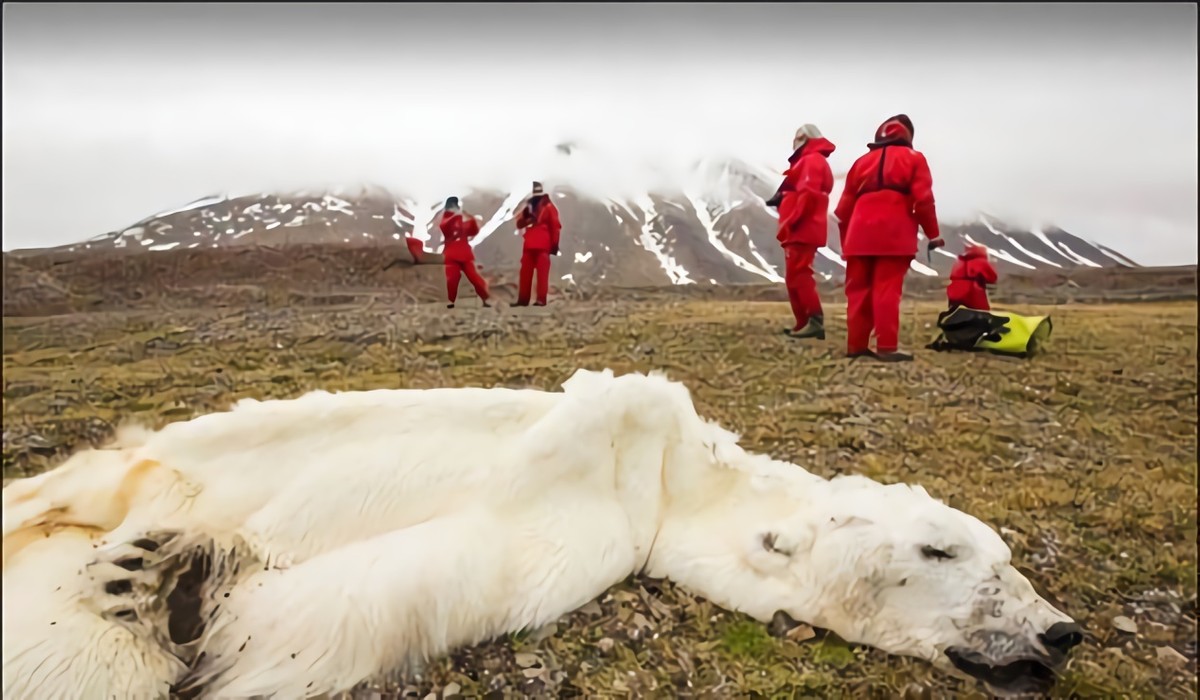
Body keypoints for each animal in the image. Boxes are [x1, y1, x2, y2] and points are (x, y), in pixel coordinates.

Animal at [2, 369, 1080, 696]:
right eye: (943, 548)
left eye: (1007, 558)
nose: (1061, 631)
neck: (667, 481)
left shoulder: (578, 543)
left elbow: (348, 604)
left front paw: (174, 583)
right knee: (73, 488)